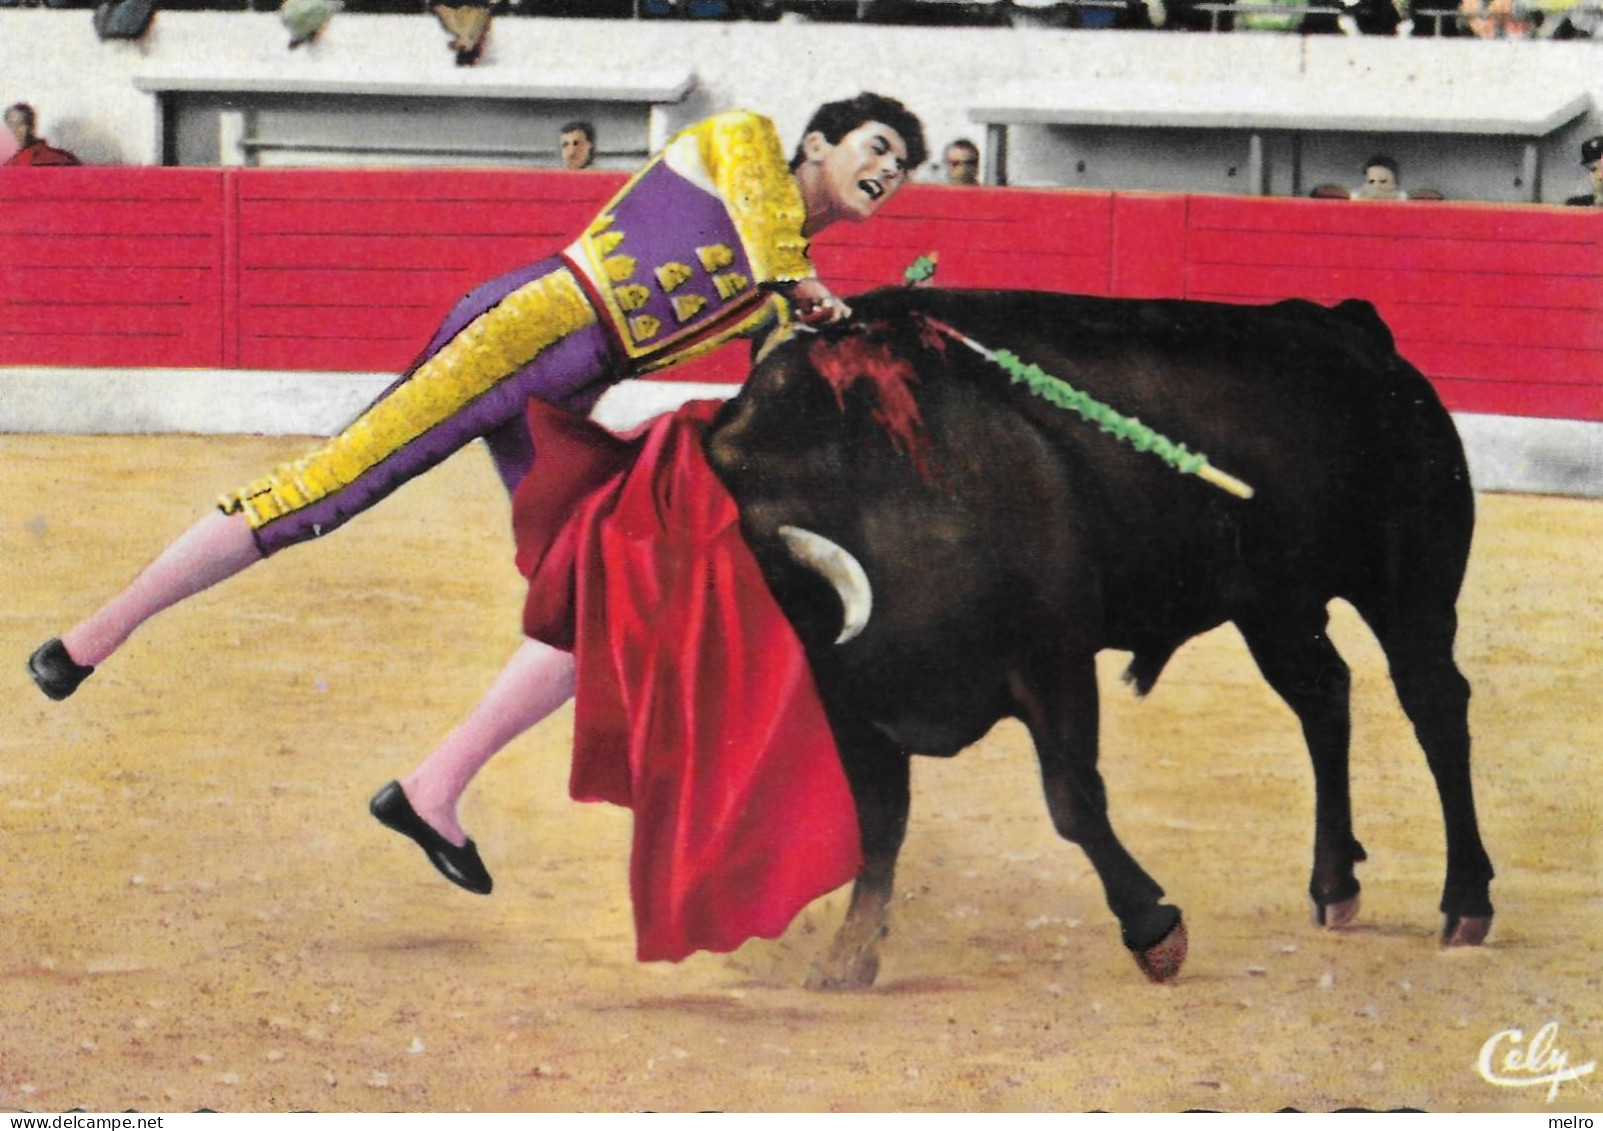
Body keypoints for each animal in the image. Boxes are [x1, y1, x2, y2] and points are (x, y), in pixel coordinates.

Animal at [708, 288, 1493, 986]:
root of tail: (1350, 331)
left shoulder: (1052, 657)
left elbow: (1073, 800)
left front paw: (1153, 929)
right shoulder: (851, 698)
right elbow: (879, 821)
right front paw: (848, 955)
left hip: (1409, 590)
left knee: (1434, 705)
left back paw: (1465, 901)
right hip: (1275, 608)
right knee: (1324, 697)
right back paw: (1334, 885)